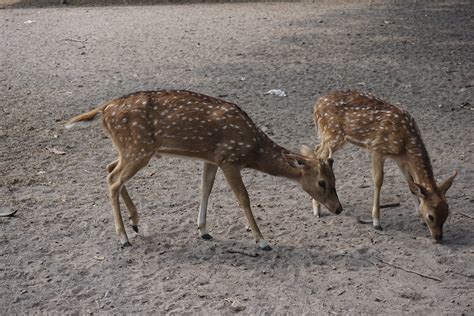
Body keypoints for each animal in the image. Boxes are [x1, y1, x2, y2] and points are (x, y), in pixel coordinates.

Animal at [65, 90, 340, 251]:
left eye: (335, 178)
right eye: (322, 182)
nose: (338, 208)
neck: (252, 150)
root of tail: (103, 109)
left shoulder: (212, 158)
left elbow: (204, 189)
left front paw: (204, 231)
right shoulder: (229, 158)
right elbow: (243, 198)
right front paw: (262, 241)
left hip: (131, 149)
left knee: (110, 168)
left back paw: (135, 222)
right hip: (138, 148)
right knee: (113, 179)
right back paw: (123, 237)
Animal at [312, 90, 456, 242]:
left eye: (447, 213)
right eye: (431, 216)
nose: (438, 237)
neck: (406, 143)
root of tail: (316, 106)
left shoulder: (400, 159)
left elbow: (410, 183)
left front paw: (419, 217)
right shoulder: (377, 149)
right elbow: (378, 181)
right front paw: (376, 222)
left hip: (332, 137)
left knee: (317, 149)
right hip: (333, 134)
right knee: (320, 154)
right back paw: (317, 210)